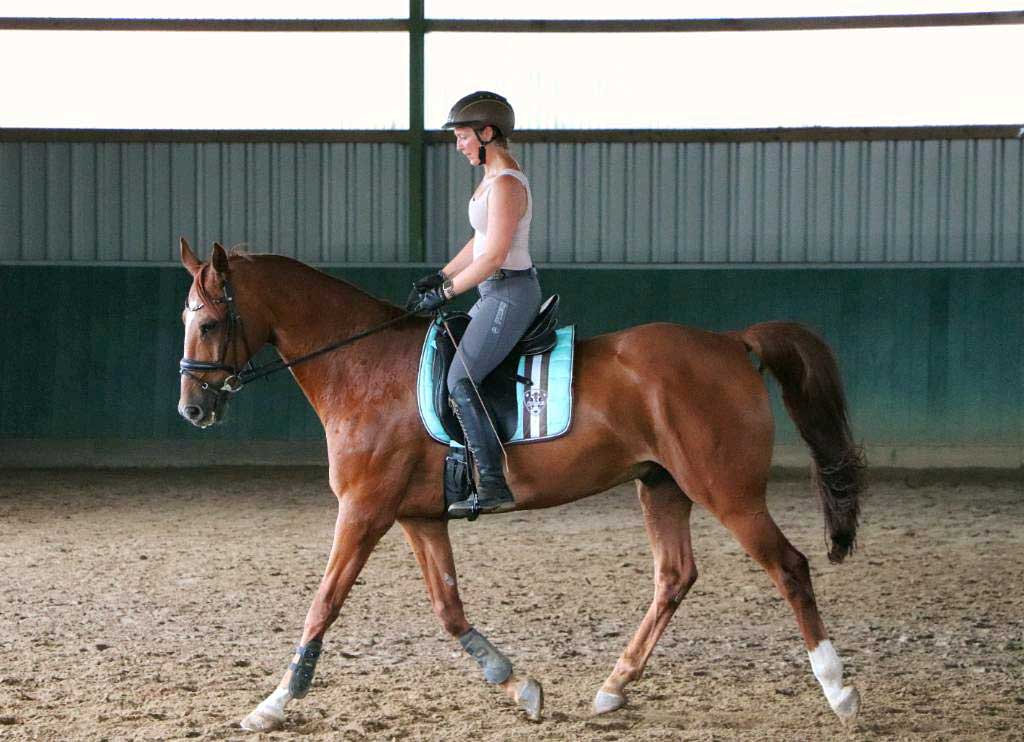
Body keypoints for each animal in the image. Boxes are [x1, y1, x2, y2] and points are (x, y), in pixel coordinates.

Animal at [174, 237, 864, 728]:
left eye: (207, 324)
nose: (193, 410)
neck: (361, 367)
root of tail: (728, 341)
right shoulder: (417, 517)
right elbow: (449, 609)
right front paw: (519, 685)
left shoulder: (364, 511)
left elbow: (323, 602)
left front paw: (272, 704)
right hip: (661, 486)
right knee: (675, 577)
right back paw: (613, 687)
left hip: (727, 491)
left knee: (789, 567)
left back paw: (839, 691)